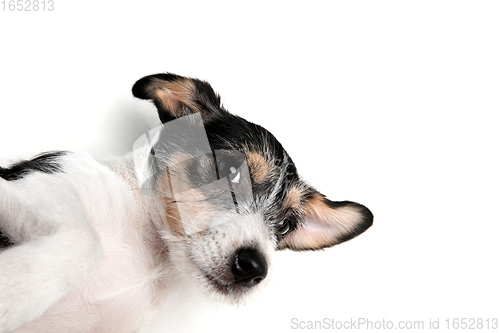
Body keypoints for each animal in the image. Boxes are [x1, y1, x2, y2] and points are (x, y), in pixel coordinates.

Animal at [0, 73, 374, 332]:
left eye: (284, 226)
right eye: (230, 170)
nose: (255, 267)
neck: (151, 251)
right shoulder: (42, 181)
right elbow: (86, 241)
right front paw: (16, 290)